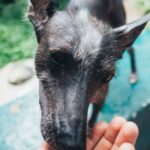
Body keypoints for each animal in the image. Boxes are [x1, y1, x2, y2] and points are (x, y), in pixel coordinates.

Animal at [28, 0, 150, 149]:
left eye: (107, 76)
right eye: (57, 56)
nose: (73, 144)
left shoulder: (102, 97)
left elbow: (93, 117)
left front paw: (90, 129)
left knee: (131, 50)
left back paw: (133, 73)